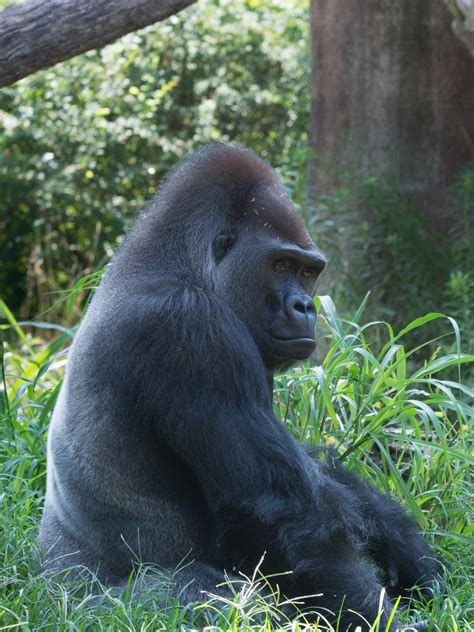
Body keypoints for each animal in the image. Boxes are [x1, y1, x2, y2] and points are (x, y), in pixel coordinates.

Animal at [39, 144, 438, 632]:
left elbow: (315, 474)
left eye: (309, 272)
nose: (305, 306)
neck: (175, 263)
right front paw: (378, 616)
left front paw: (404, 548)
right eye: (281, 265)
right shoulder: (193, 328)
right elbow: (276, 506)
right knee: (222, 600)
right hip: (101, 608)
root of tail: (46, 584)